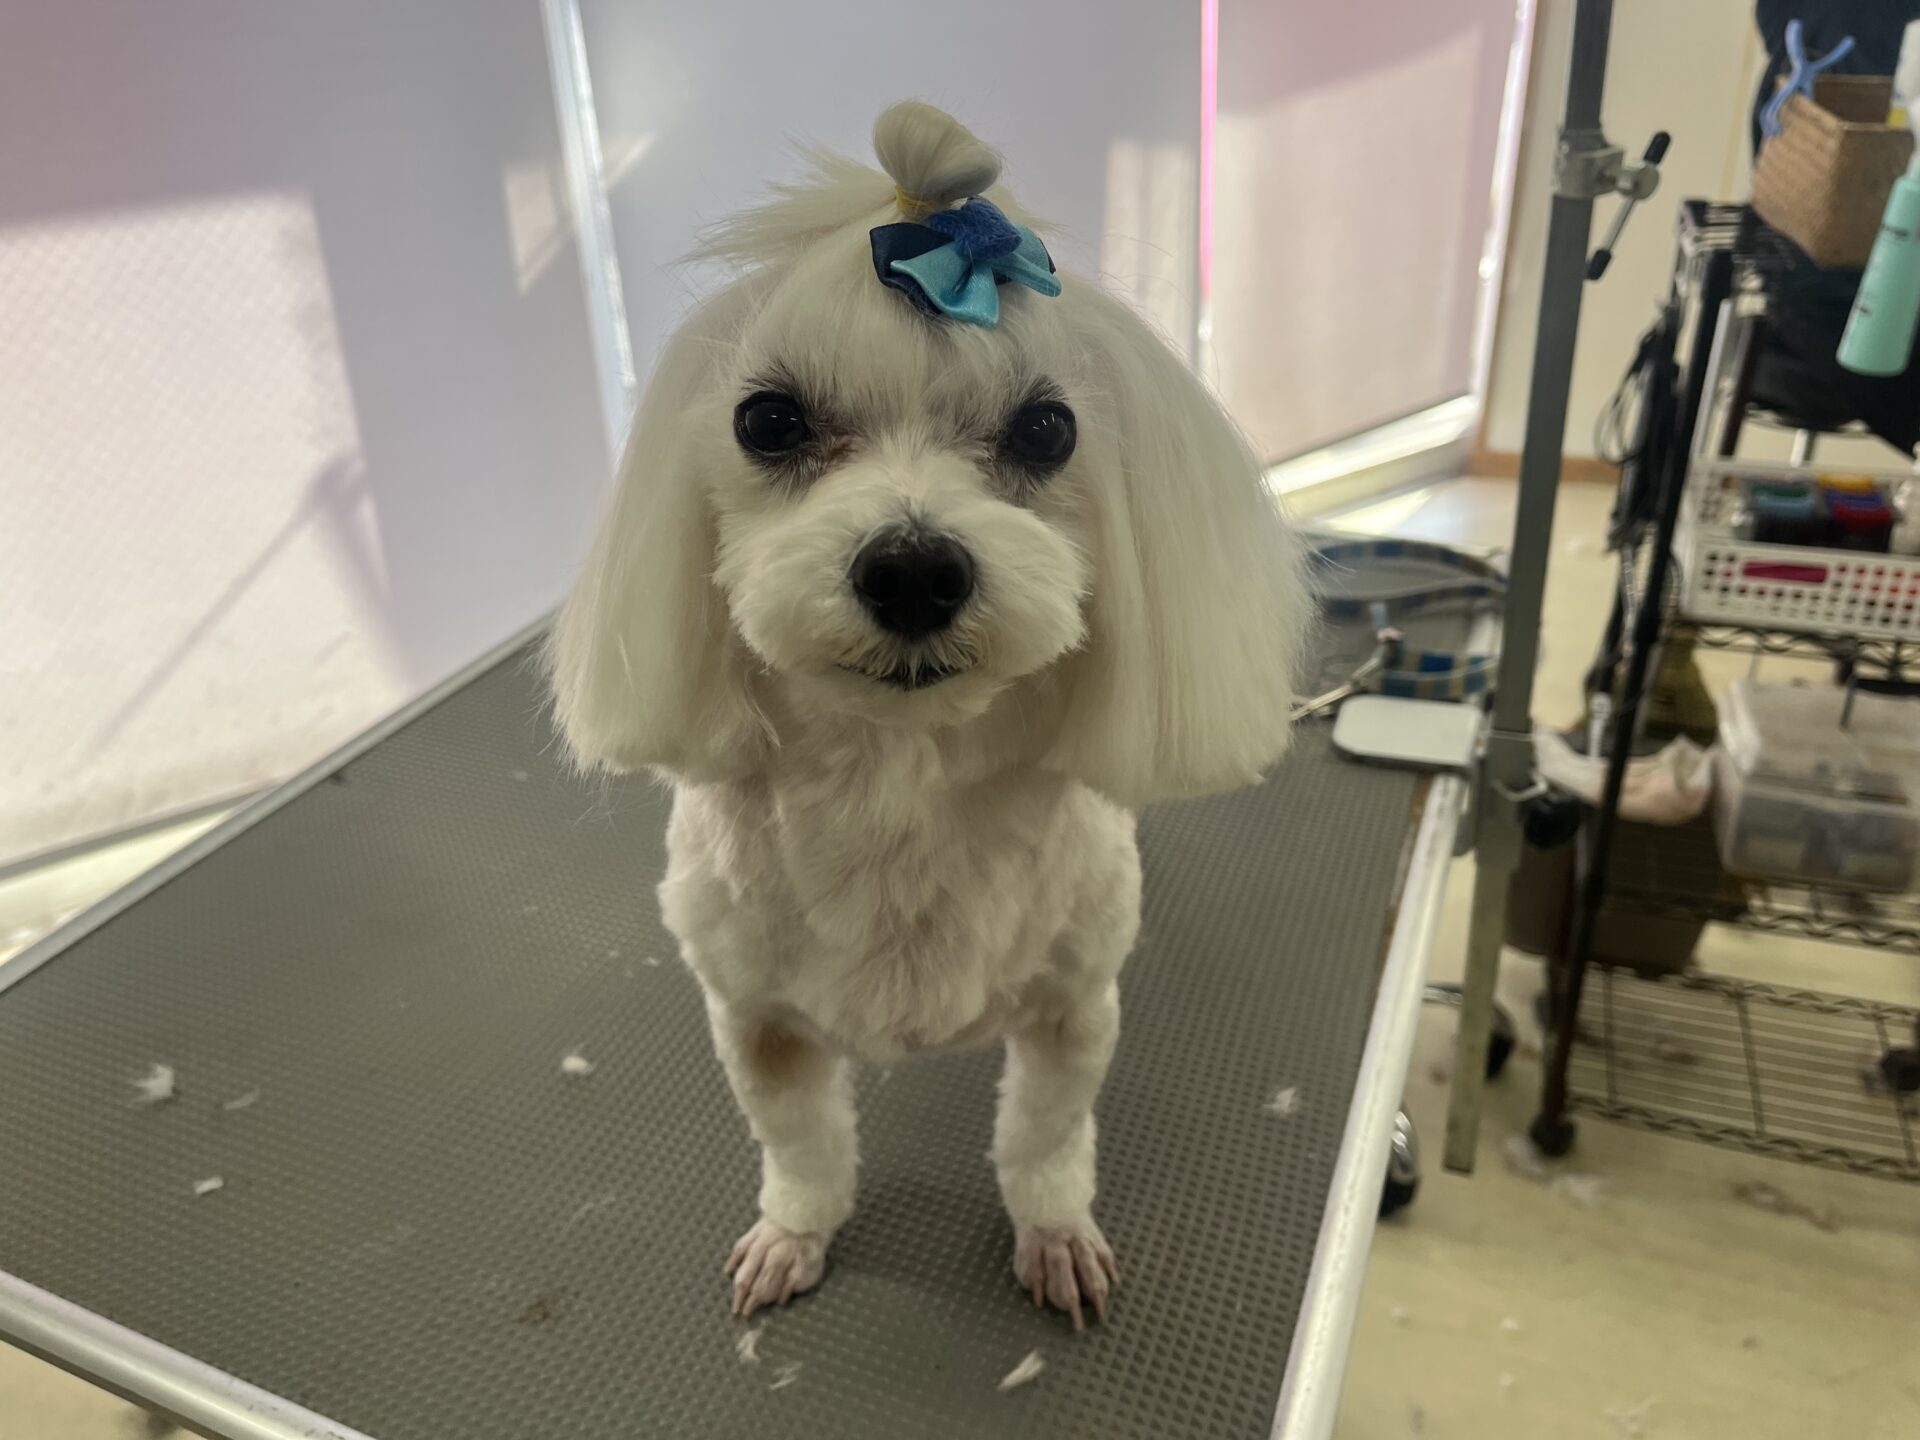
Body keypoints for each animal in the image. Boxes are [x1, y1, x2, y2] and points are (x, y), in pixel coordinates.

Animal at [549, 101, 1307, 1328]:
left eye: (1047, 432)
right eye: (768, 420)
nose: (912, 570)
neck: (896, 782)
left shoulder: (1073, 1009)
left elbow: (1043, 1137)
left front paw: (1055, 1234)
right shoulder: (754, 1019)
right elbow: (801, 1142)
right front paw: (794, 1234)